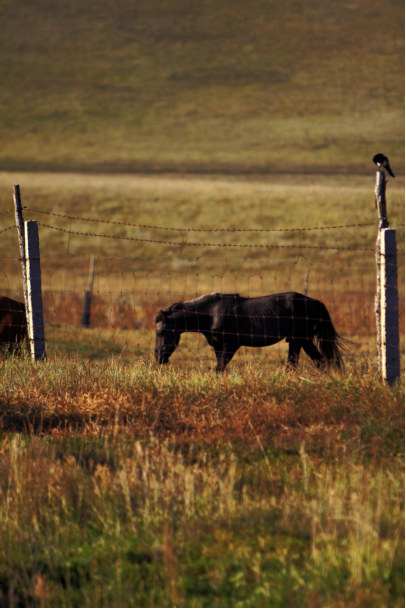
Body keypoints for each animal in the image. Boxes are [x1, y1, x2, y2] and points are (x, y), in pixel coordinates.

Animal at [154, 290, 350, 370]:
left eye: (160, 332)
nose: (158, 357)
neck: (211, 313)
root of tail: (315, 302)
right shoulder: (218, 347)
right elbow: (220, 368)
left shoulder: (231, 346)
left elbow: (219, 368)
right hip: (298, 341)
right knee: (303, 363)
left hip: (302, 339)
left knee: (316, 362)